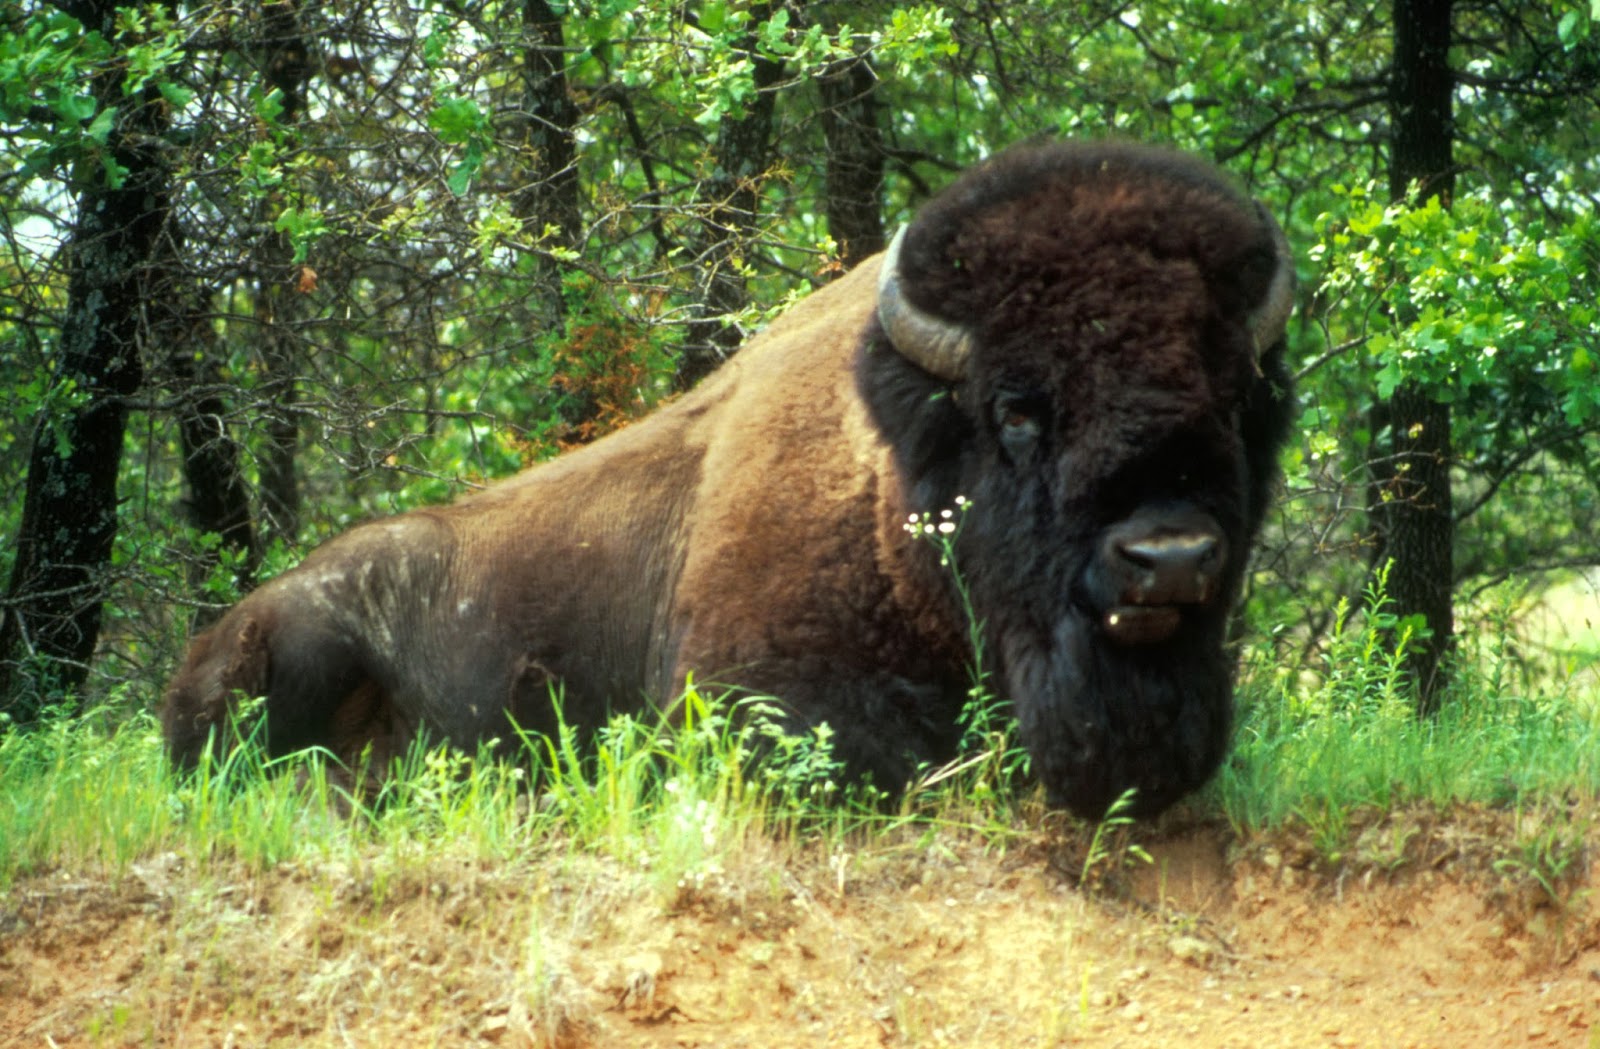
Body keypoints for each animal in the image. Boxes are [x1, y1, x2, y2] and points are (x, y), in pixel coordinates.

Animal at [163, 139, 1295, 820]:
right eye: (1016, 410)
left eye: (1234, 395)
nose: (1168, 555)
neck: (889, 483)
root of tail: (209, 642)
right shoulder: (752, 694)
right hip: (296, 651)